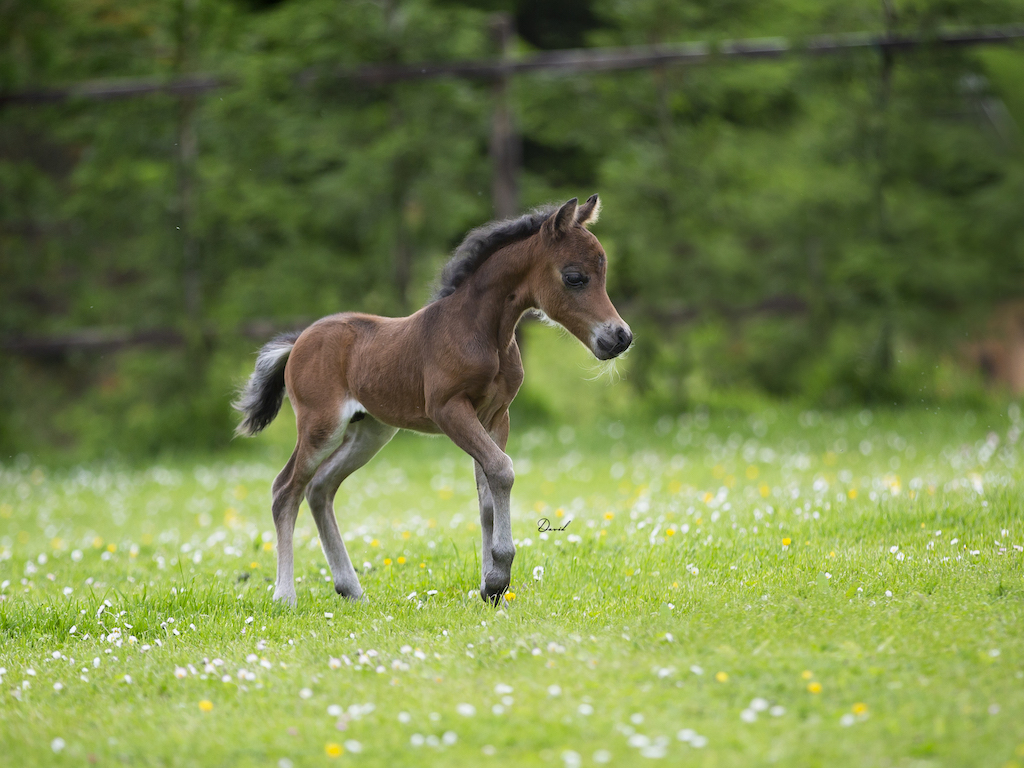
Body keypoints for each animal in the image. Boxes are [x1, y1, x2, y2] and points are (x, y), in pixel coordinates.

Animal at [233, 195, 632, 606]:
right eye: (574, 277)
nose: (620, 337)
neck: (483, 332)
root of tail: (298, 341)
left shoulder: (496, 416)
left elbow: (487, 494)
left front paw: (489, 585)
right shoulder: (448, 409)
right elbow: (502, 470)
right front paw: (499, 574)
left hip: (371, 433)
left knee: (320, 489)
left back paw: (351, 589)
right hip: (320, 426)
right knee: (286, 490)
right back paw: (285, 595)